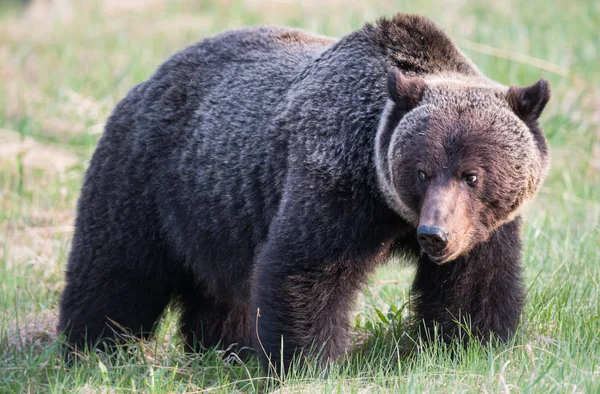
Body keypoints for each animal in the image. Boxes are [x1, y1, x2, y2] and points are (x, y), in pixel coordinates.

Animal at [58, 13, 552, 374]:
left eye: (473, 175)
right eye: (422, 171)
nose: (434, 235)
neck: (391, 211)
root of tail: (146, 81)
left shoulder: (483, 227)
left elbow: (474, 285)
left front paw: (472, 345)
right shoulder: (335, 181)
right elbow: (306, 270)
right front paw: (309, 362)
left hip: (217, 214)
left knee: (220, 291)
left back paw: (226, 347)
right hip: (147, 181)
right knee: (117, 272)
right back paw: (91, 349)